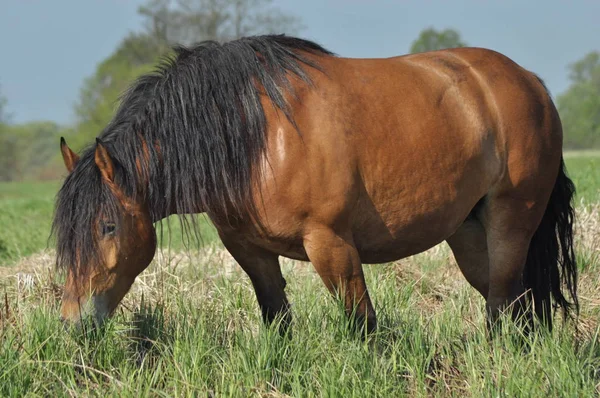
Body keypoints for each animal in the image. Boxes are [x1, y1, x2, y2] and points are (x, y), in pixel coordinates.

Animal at [54, 34, 580, 334]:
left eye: (107, 228)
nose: (74, 324)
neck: (253, 135)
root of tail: (530, 81)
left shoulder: (331, 244)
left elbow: (361, 324)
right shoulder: (249, 250)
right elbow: (277, 319)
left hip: (511, 220)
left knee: (503, 304)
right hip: (468, 231)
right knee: (510, 304)